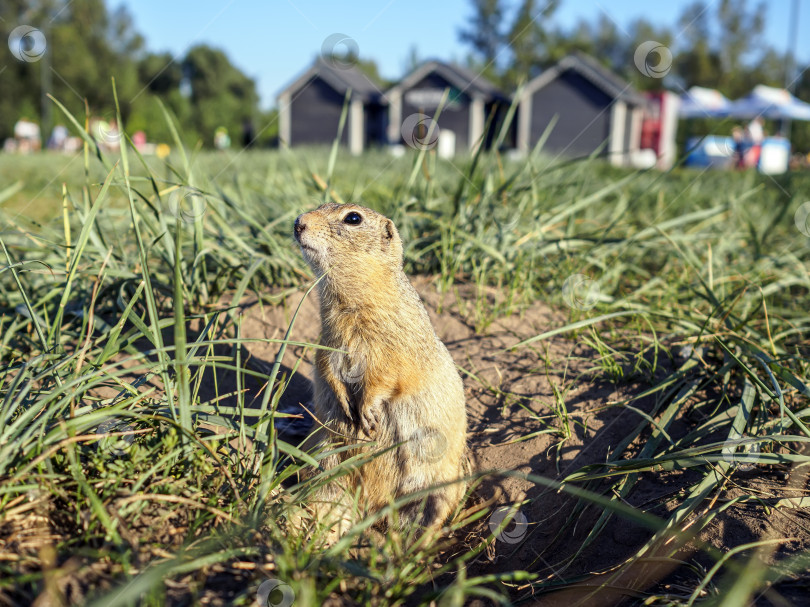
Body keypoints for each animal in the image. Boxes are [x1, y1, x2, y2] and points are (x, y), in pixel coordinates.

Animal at [294, 203, 464, 536]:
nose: (298, 223)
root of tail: (372, 507)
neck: (347, 303)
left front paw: (367, 413)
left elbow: (387, 374)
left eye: (353, 218)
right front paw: (346, 404)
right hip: (323, 472)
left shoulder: (394, 345)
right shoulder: (327, 338)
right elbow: (325, 366)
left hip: (437, 483)